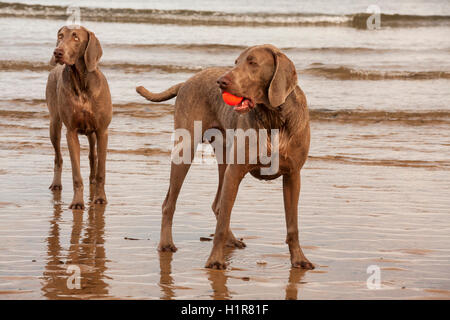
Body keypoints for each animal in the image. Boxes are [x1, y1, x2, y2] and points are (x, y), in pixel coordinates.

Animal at [46, 26, 112, 209]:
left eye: (76, 38)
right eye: (60, 36)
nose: (57, 52)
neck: (81, 81)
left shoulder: (102, 131)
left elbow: (101, 170)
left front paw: (100, 198)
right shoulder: (71, 132)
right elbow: (76, 173)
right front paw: (77, 202)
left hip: (92, 133)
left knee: (93, 156)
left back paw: (92, 181)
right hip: (54, 125)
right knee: (58, 157)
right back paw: (56, 183)